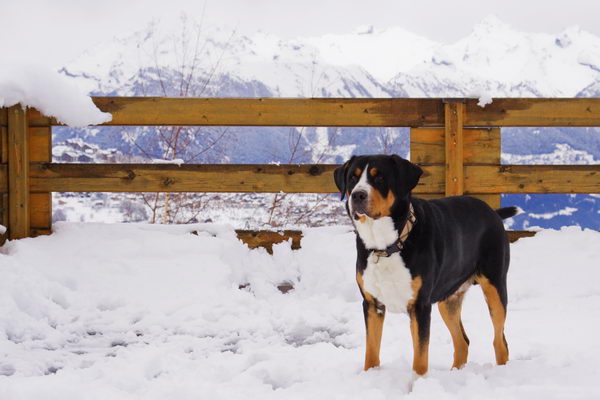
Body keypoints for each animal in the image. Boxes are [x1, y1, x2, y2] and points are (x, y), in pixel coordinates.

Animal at [332, 154, 520, 376]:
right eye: (353, 178)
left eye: (379, 178)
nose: (357, 195)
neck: (386, 245)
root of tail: (492, 211)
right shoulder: (371, 304)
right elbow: (371, 352)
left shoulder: (420, 306)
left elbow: (420, 358)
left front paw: (418, 382)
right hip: (448, 300)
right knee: (462, 342)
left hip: (495, 288)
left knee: (500, 342)